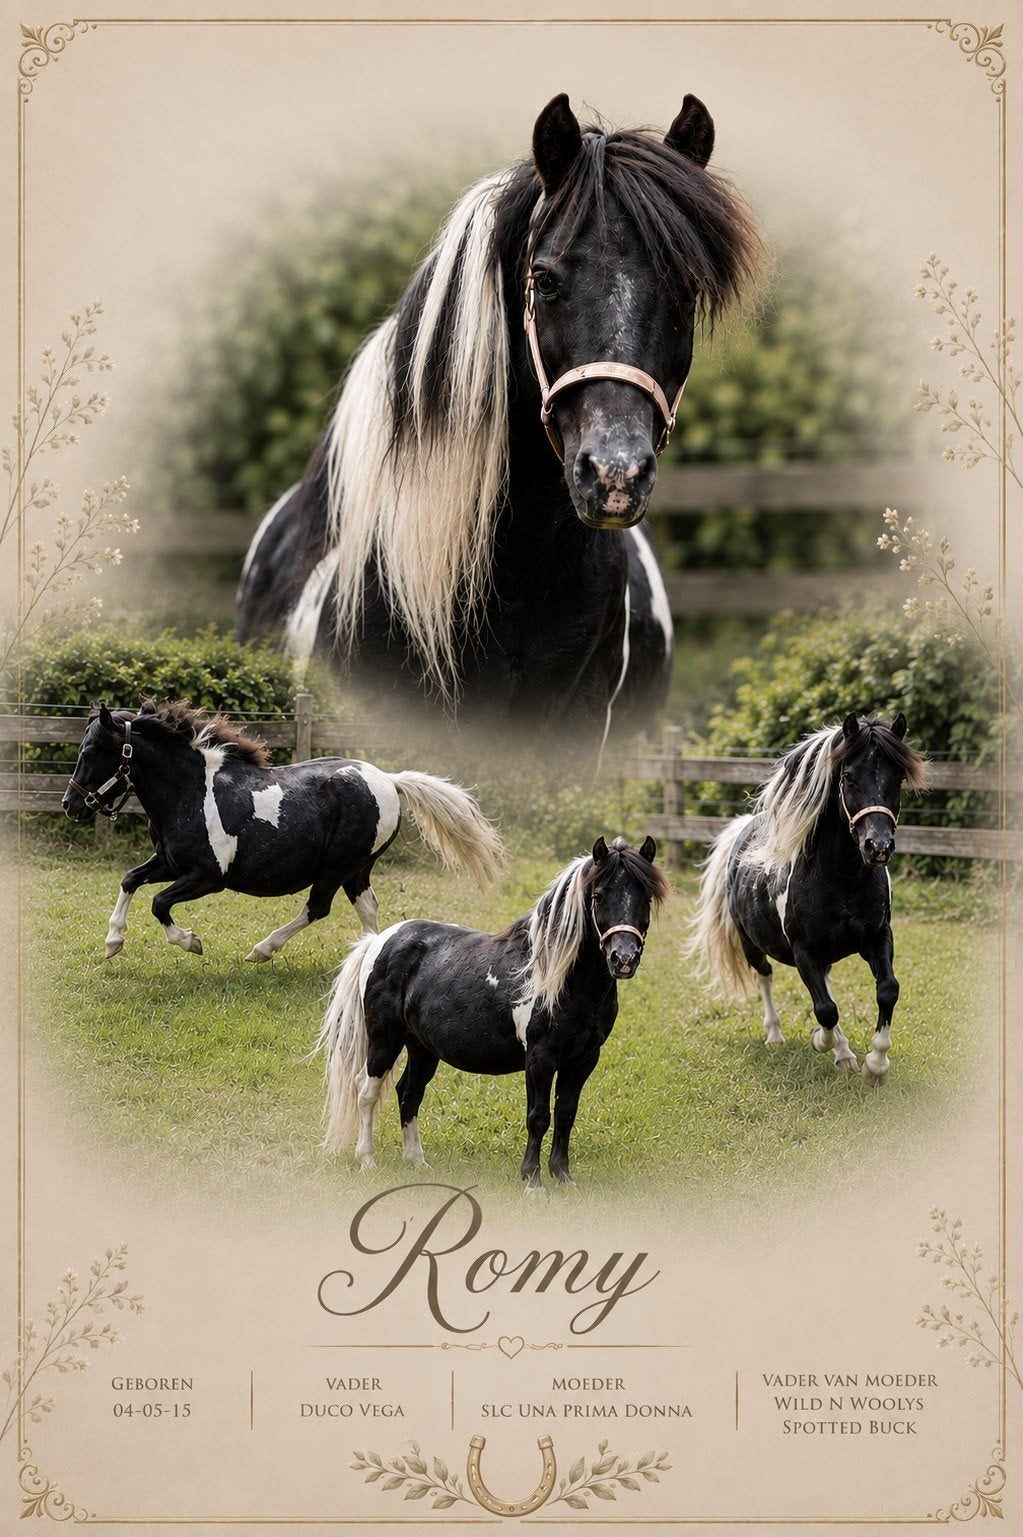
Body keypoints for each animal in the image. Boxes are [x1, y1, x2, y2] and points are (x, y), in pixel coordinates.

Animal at [62, 700, 502, 962]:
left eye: (91, 752)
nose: (70, 805)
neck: (189, 791)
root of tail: (389, 782)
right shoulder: (169, 863)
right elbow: (130, 879)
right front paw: (113, 942)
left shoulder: (208, 876)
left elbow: (158, 904)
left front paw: (191, 941)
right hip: (356, 870)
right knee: (367, 909)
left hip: (338, 867)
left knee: (317, 908)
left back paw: (262, 950)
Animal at [317, 835, 669, 1188]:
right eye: (598, 896)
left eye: (646, 896)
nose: (623, 958)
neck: (557, 978)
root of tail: (379, 941)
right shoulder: (540, 1057)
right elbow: (538, 1117)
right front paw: (532, 1181)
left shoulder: (584, 1059)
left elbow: (566, 1114)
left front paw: (562, 1176)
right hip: (384, 1040)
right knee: (366, 1090)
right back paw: (367, 1160)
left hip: (422, 1048)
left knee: (409, 1093)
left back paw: (417, 1162)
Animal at [688, 714, 929, 1084]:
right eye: (848, 777)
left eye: (899, 776)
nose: (878, 846)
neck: (841, 879)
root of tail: (742, 830)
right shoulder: (805, 951)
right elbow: (825, 1010)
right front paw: (823, 1043)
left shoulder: (878, 937)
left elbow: (887, 989)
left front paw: (875, 1064)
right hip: (750, 944)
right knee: (765, 977)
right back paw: (777, 1036)